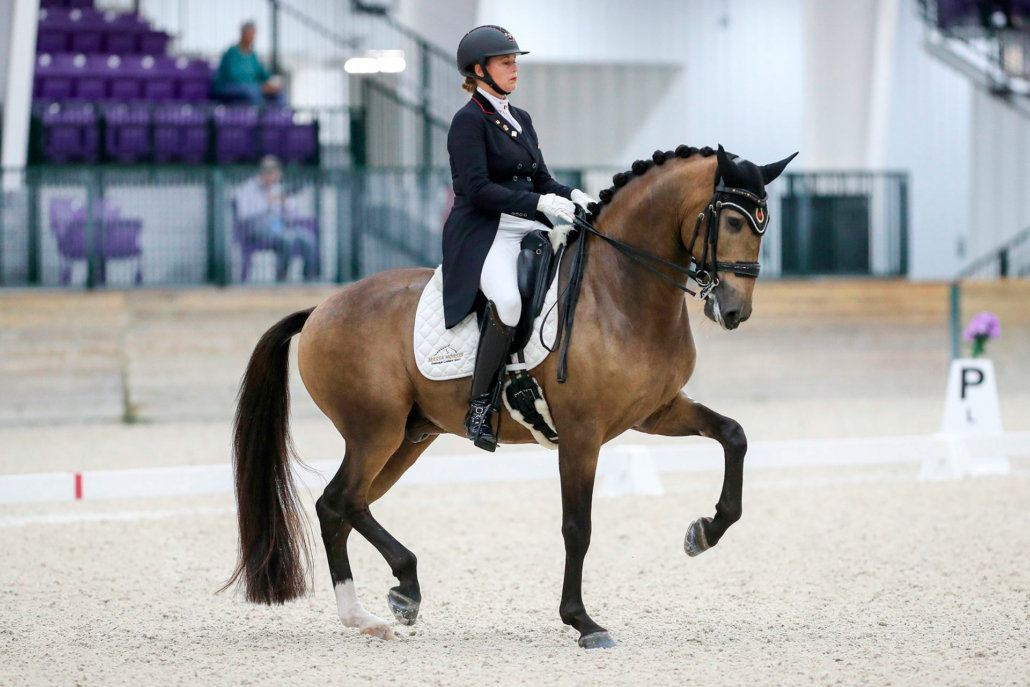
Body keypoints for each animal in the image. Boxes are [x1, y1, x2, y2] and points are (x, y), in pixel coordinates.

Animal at [223, 143, 797, 649]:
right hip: (375, 432)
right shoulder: (582, 435)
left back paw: (385, 604)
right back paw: (383, 600)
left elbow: (734, 435)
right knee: (339, 501)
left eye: (765, 224)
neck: (620, 291)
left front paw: (705, 531)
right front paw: (583, 621)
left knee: (345, 505)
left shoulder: (655, 411)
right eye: (733, 223)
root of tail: (320, 309)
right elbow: (577, 527)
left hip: (407, 437)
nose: (734, 311)